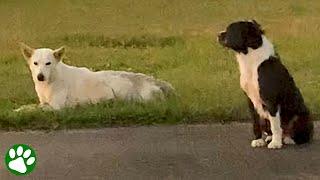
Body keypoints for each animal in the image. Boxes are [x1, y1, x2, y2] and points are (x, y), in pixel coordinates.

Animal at [18, 43, 172, 110]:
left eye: (48, 63)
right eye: (35, 63)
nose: (40, 76)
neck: (52, 80)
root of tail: (155, 81)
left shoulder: (56, 106)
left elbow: (35, 108)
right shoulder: (44, 101)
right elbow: (30, 106)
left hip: (115, 86)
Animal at [218, 20, 312, 149]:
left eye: (230, 29)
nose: (218, 35)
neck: (252, 59)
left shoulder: (270, 99)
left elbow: (276, 125)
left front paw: (276, 144)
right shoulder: (250, 100)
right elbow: (256, 122)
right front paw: (258, 140)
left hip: (301, 116)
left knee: (300, 135)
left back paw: (288, 139)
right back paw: (270, 138)